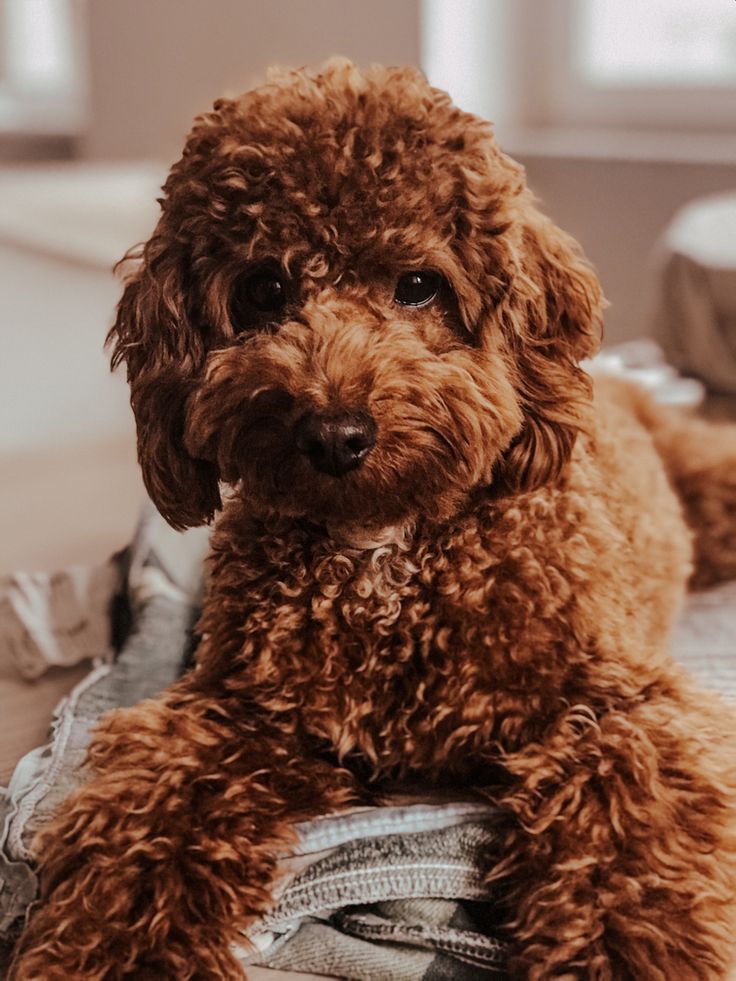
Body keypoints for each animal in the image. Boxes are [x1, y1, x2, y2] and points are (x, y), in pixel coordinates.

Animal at [10, 61, 736, 980]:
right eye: (265, 289)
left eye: (418, 284)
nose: (335, 431)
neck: (385, 551)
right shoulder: (238, 716)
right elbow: (146, 821)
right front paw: (112, 946)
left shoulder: (615, 707)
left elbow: (630, 849)